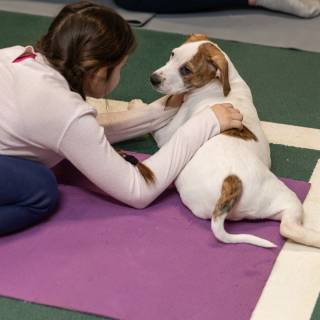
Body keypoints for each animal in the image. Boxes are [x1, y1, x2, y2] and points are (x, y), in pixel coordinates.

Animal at [151, 35, 320, 249]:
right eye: (172, 54)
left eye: (186, 70)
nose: (153, 79)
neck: (223, 83)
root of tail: (231, 181)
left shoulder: (167, 134)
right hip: (279, 200)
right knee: (287, 225)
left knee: (288, 228)